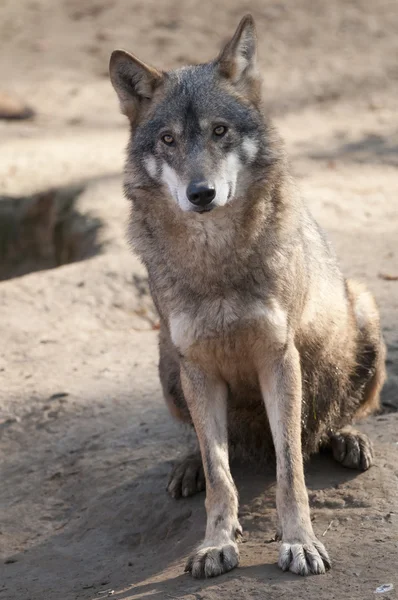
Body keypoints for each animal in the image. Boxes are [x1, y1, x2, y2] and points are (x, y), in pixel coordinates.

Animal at [109, 12, 386, 576]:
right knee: (205, 443)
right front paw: (215, 543)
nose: (201, 194)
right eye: (168, 139)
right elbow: (220, 473)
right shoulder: (197, 364)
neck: (215, 263)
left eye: (220, 131)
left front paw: (300, 542)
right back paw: (186, 465)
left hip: (365, 310)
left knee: (332, 422)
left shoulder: (278, 357)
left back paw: (347, 440)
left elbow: (290, 471)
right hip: (165, 358)